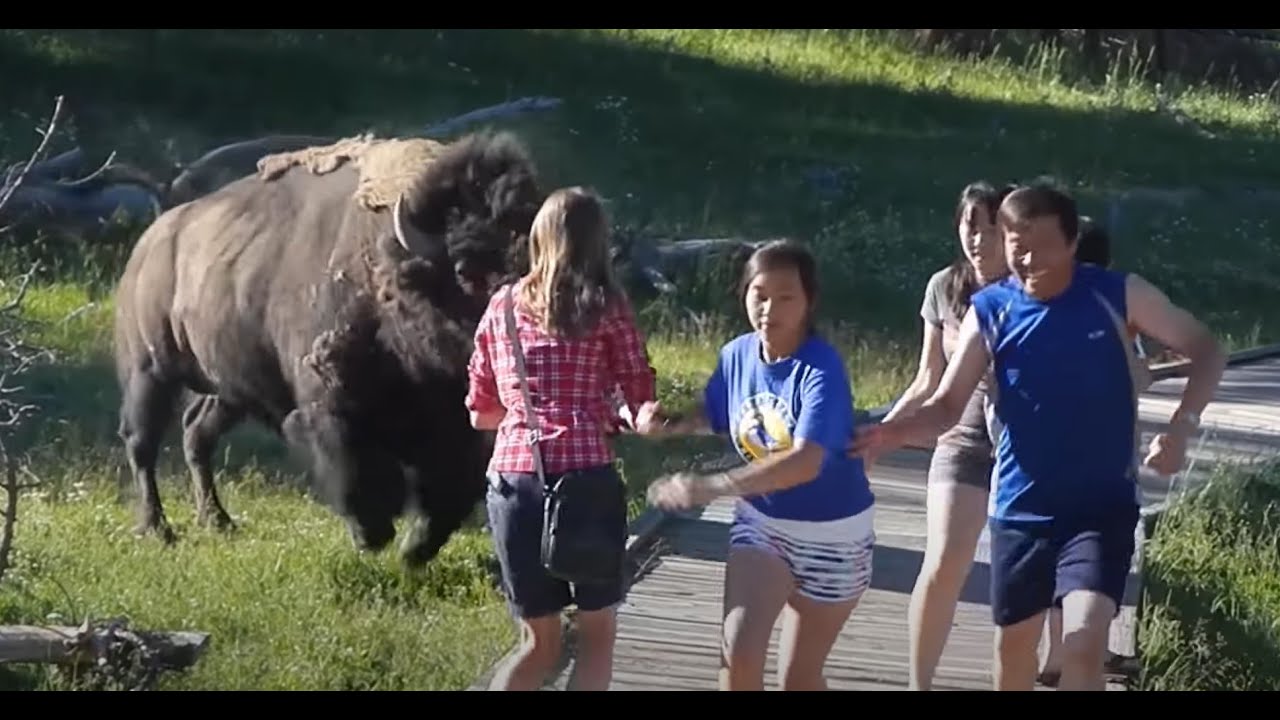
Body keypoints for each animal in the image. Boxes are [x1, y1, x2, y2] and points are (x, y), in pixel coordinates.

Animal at [111, 129, 545, 566]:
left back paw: (218, 521)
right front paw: (372, 538)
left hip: (229, 391)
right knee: (141, 443)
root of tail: (153, 238)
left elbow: (445, 489)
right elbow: (360, 475)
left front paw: (413, 549)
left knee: (196, 434)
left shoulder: (452, 429)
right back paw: (158, 528)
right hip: (149, 373)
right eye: (463, 271)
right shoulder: (333, 408)